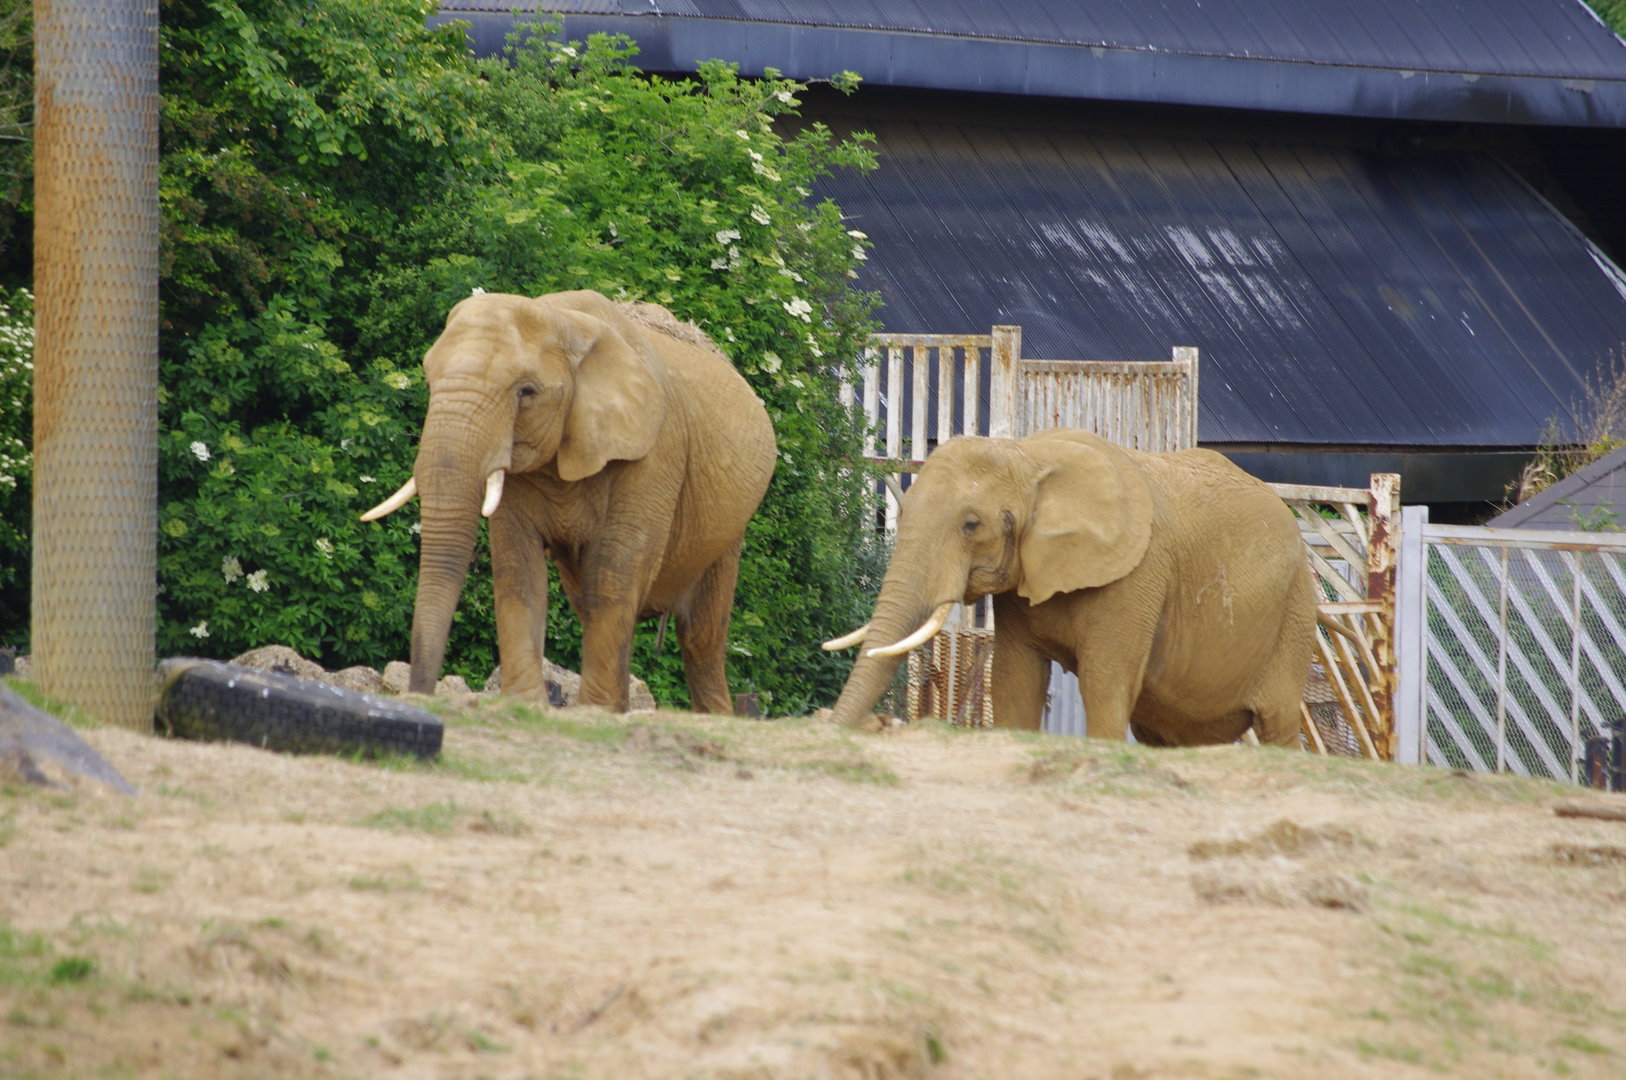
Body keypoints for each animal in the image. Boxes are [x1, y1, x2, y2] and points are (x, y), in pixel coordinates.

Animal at [362, 289, 776, 713]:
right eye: (429, 380)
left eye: (526, 392)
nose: (418, 695)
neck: (560, 318)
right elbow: (517, 568)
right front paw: (527, 704)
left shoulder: (655, 451)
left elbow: (615, 569)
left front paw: (594, 711)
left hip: (730, 524)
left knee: (700, 633)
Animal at [822, 429, 1316, 745]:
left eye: (970, 524)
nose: (829, 725)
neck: (1028, 459)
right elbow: (1015, 679)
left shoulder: (1137, 574)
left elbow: (1104, 683)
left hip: (1295, 610)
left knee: (1277, 724)